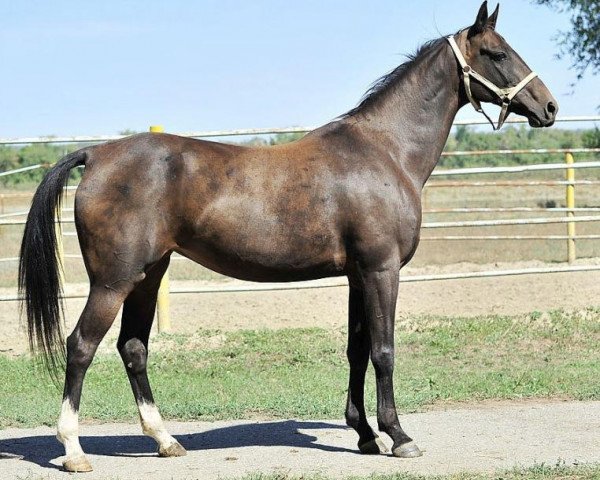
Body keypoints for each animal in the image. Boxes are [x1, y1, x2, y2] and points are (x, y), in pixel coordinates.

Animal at [19, 0, 556, 472]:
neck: (385, 150)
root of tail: (97, 154)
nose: (549, 107)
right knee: (80, 347)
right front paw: (399, 437)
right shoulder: (381, 270)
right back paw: (74, 451)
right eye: (497, 53)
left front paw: (364, 435)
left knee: (133, 348)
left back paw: (165, 440)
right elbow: (383, 351)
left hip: (148, 276)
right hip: (113, 282)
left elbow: (356, 350)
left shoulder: (358, 276)